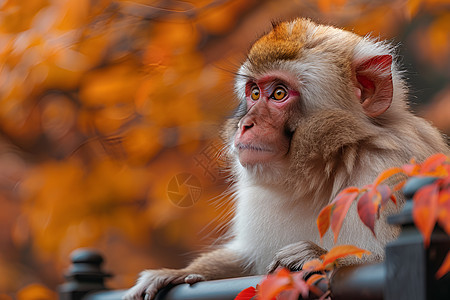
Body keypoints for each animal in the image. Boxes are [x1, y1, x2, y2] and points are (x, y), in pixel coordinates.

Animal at [124, 17, 450, 298]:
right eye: (254, 93)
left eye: (279, 93)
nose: (246, 125)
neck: (323, 170)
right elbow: (247, 258)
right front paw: (177, 274)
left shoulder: (390, 171)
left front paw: (314, 256)